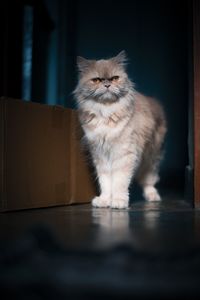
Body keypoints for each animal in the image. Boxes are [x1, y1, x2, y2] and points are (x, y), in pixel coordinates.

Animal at [74, 51, 166, 209]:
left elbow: (119, 182)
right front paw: (104, 201)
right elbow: (105, 183)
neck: (105, 112)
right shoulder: (101, 155)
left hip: (151, 157)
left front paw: (118, 201)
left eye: (115, 78)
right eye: (96, 80)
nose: (107, 84)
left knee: (149, 180)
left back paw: (152, 197)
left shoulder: (123, 154)